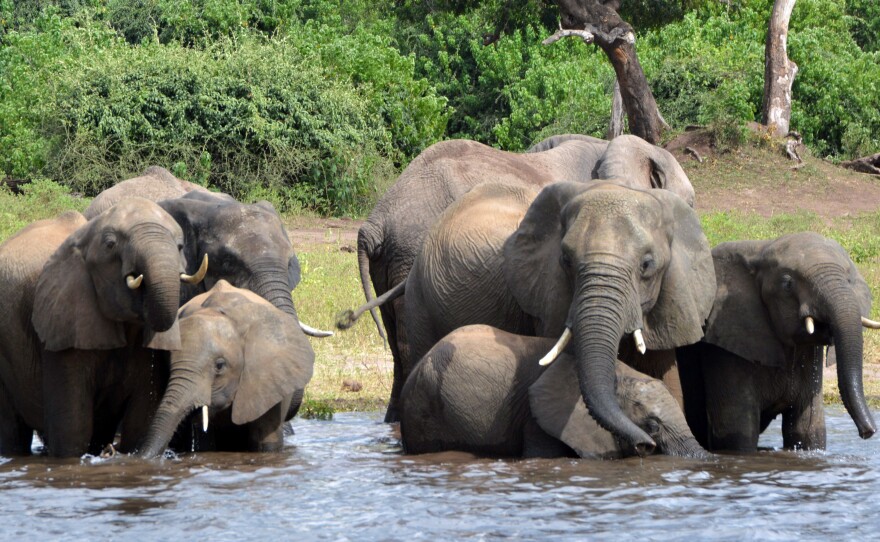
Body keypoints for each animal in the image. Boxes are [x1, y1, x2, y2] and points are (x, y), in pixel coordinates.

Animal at [0, 199, 200, 457]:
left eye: (180, 246)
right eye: (110, 245)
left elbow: (140, 421)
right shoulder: (63, 324)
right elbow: (72, 429)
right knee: (13, 432)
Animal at [676, 232, 877, 452]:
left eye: (849, 280)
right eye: (787, 284)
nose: (868, 432)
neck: (760, 249)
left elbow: (807, 430)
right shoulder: (724, 347)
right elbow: (737, 435)